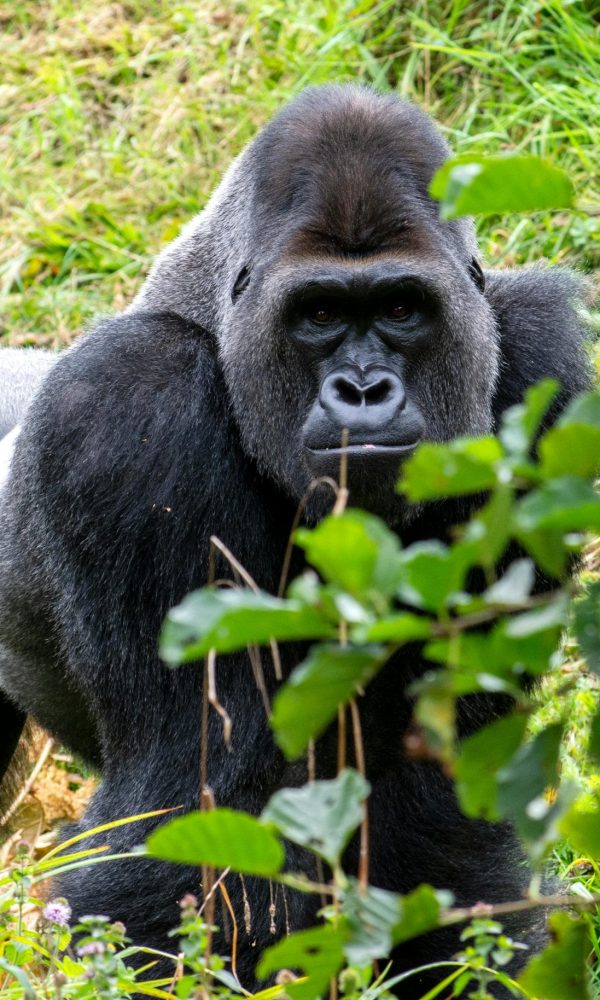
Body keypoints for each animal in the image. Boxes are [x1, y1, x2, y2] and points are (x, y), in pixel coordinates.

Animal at [0, 85, 591, 997]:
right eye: (319, 314)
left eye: (400, 308)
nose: (363, 389)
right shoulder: (126, 405)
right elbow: (197, 796)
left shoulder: (541, 368)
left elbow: (444, 790)